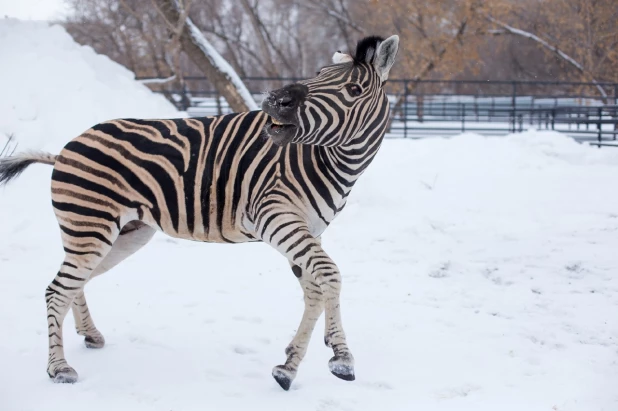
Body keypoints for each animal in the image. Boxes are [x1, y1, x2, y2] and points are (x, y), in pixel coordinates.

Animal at [0, 34, 400, 390]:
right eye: (318, 74)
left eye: (353, 90)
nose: (274, 100)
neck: (327, 160)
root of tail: (64, 149)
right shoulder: (276, 218)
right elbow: (330, 276)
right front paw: (342, 359)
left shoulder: (307, 230)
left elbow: (314, 291)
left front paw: (290, 365)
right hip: (91, 229)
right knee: (57, 290)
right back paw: (59, 369)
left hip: (123, 234)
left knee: (74, 283)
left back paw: (90, 335)